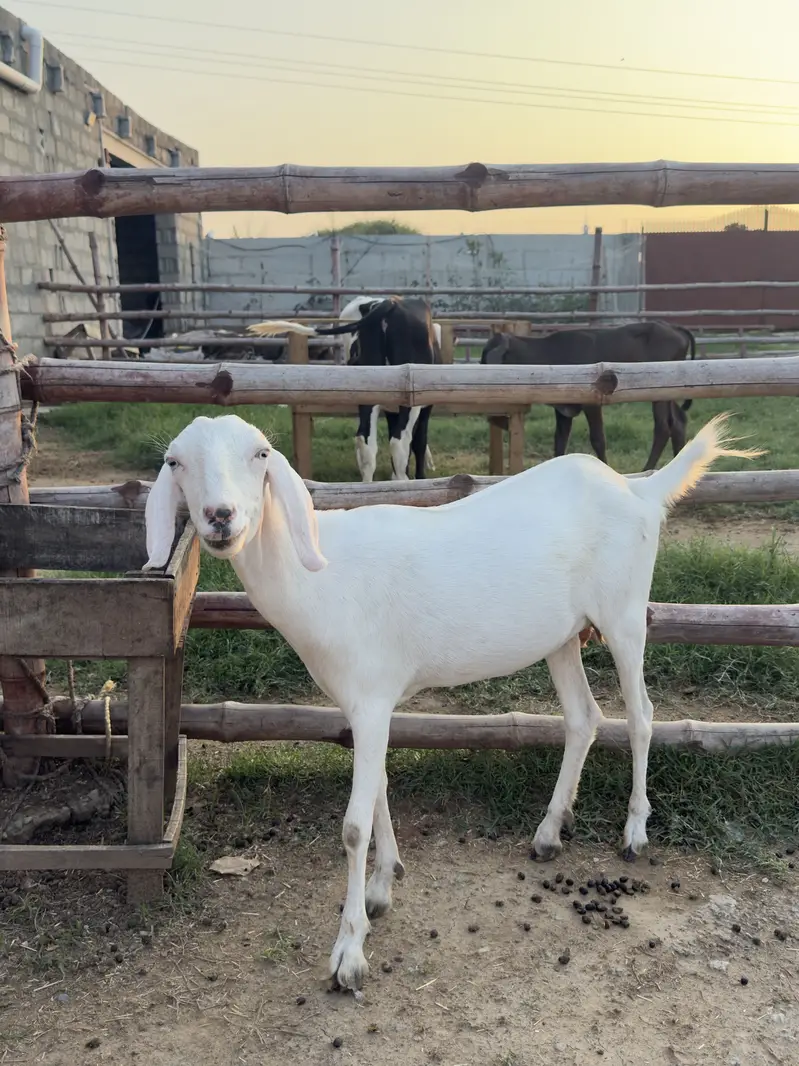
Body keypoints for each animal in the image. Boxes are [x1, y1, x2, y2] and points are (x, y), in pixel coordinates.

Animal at [143, 410, 759, 990]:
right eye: (176, 462)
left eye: (261, 454)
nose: (220, 516)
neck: (318, 575)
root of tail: (641, 490)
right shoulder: (365, 704)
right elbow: (379, 791)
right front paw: (382, 887)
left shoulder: (371, 697)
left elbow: (353, 826)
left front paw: (349, 954)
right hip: (562, 637)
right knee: (584, 718)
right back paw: (548, 833)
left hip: (625, 613)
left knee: (641, 718)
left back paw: (634, 833)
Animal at [482, 321, 696, 470]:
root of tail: (674, 327)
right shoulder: (563, 409)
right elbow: (559, 441)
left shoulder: (592, 404)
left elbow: (598, 439)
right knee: (678, 422)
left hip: (659, 395)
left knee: (663, 427)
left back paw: (647, 469)